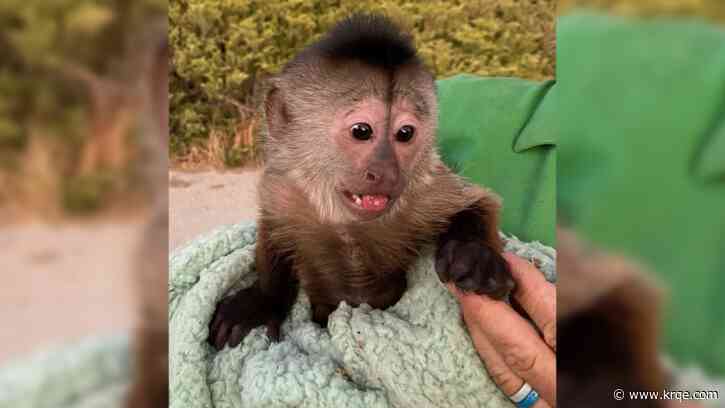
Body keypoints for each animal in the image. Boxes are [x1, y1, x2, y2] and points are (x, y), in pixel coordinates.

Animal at [209, 13, 514, 350]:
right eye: (361, 131)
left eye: (405, 133)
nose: (387, 172)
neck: (347, 223)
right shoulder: (284, 189)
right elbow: (274, 231)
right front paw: (261, 301)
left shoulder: (424, 187)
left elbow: (478, 202)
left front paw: (474, 253)